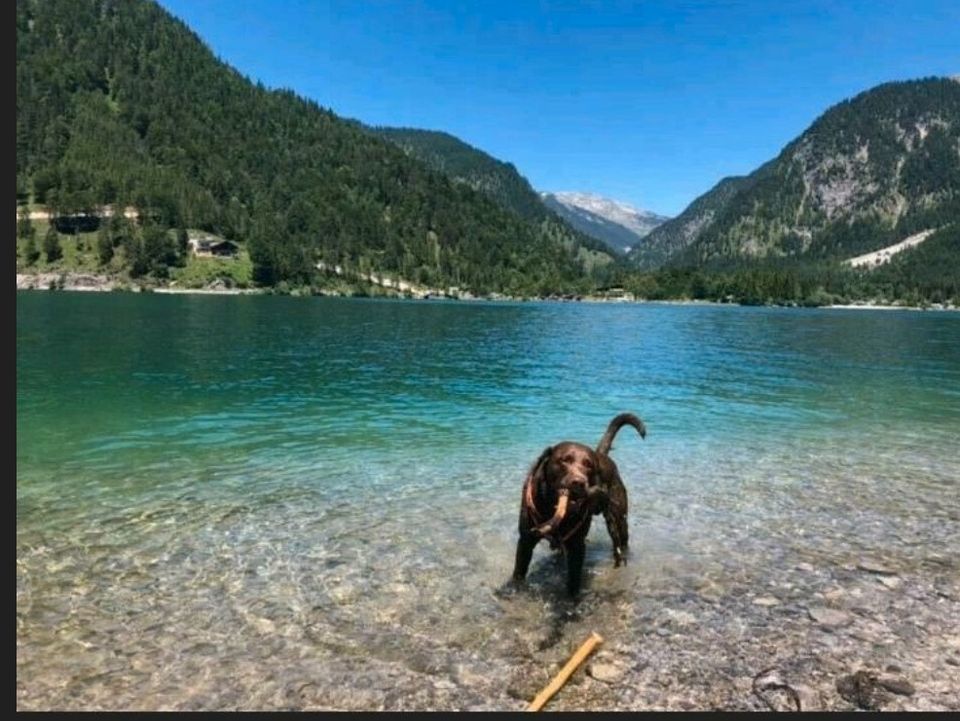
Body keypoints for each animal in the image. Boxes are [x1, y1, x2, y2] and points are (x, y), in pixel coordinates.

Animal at [510, 410, 644, 596]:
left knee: (622, 539)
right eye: (565, 460)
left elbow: (573, 581)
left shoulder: (577, 546)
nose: (579, 482)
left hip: (619, 518)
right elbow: (519, 573)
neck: (552, 508)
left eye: (588, 465)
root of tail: (602, 455)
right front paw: (514, 589)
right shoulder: (525, 540)